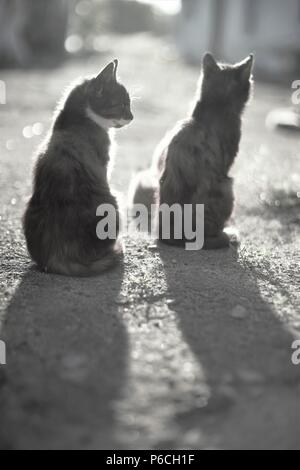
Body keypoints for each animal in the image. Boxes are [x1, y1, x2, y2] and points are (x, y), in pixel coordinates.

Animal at [24, 60, 134, 278]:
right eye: (123, 104)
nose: (132, 117)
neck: (74, 120)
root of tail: (57, 256)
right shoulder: (104, 166)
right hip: (113, 202)